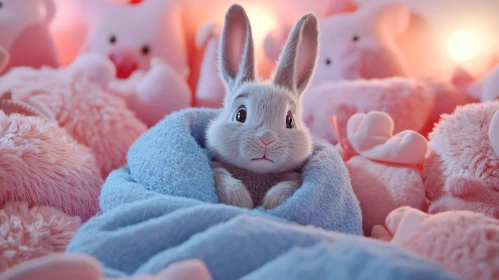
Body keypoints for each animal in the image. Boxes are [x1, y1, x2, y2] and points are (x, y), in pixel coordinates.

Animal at [207, 4, 320, 210]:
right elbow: (222, 176)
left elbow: (289, 184)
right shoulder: (216, 167)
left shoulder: (295, 178)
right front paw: (238, 199)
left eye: (290, 121)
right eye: (240, 115)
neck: (257, 173)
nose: (266, 138)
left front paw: (273, 201)